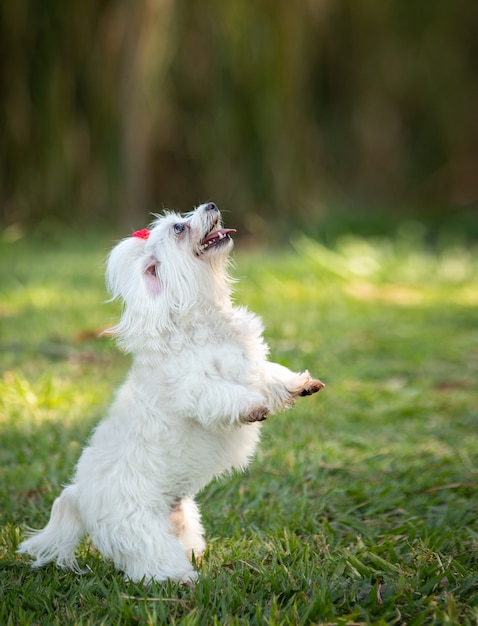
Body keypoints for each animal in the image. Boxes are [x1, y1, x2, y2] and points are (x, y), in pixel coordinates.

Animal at [18, 202, 324, 584]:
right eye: (179, 228)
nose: (211, 205)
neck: (199, 317)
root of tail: (78, 496)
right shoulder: (196, 388)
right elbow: (227, 395)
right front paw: (253, 407)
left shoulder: (251, 364)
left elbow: (272, 375)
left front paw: (301, 384)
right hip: (138, 530)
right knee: (151, 560)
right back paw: (181, 579)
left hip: (183, 516)